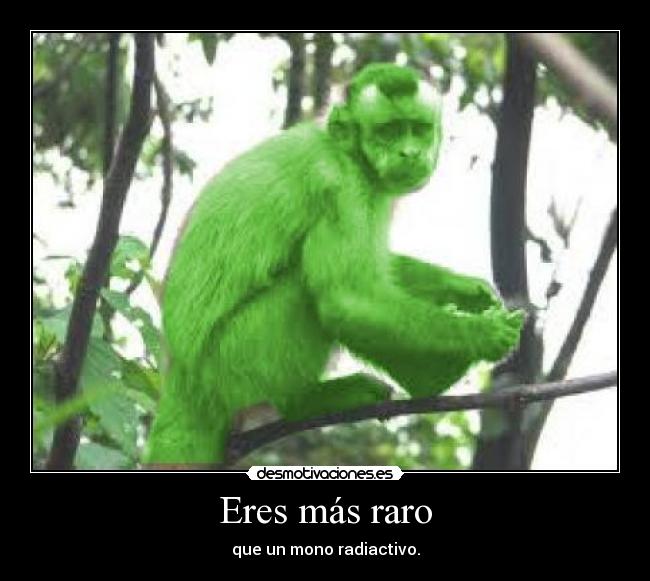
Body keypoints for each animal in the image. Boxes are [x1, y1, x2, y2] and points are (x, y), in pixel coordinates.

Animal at [143, 63, 523, 467]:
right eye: (389, 131)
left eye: (417, 129)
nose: (408, 153)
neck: (348, 152)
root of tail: (180, 375)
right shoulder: (340, 187)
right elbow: (347, 298)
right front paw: (479, 335)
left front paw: (464, 287)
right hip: (229, 364)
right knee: (307, 291)